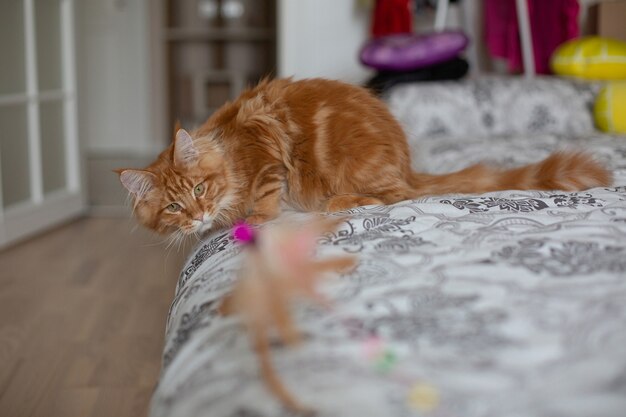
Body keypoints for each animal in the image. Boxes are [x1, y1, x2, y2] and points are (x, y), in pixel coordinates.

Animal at [116, 78, 608, 234]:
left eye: (200, 188)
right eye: (174, 205)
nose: (198, 214)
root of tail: (408, 163)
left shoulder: (268, 155)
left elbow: (267, 199)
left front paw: (254, 219)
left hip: (358, 172)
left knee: (393, 196)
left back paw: (340, 201)